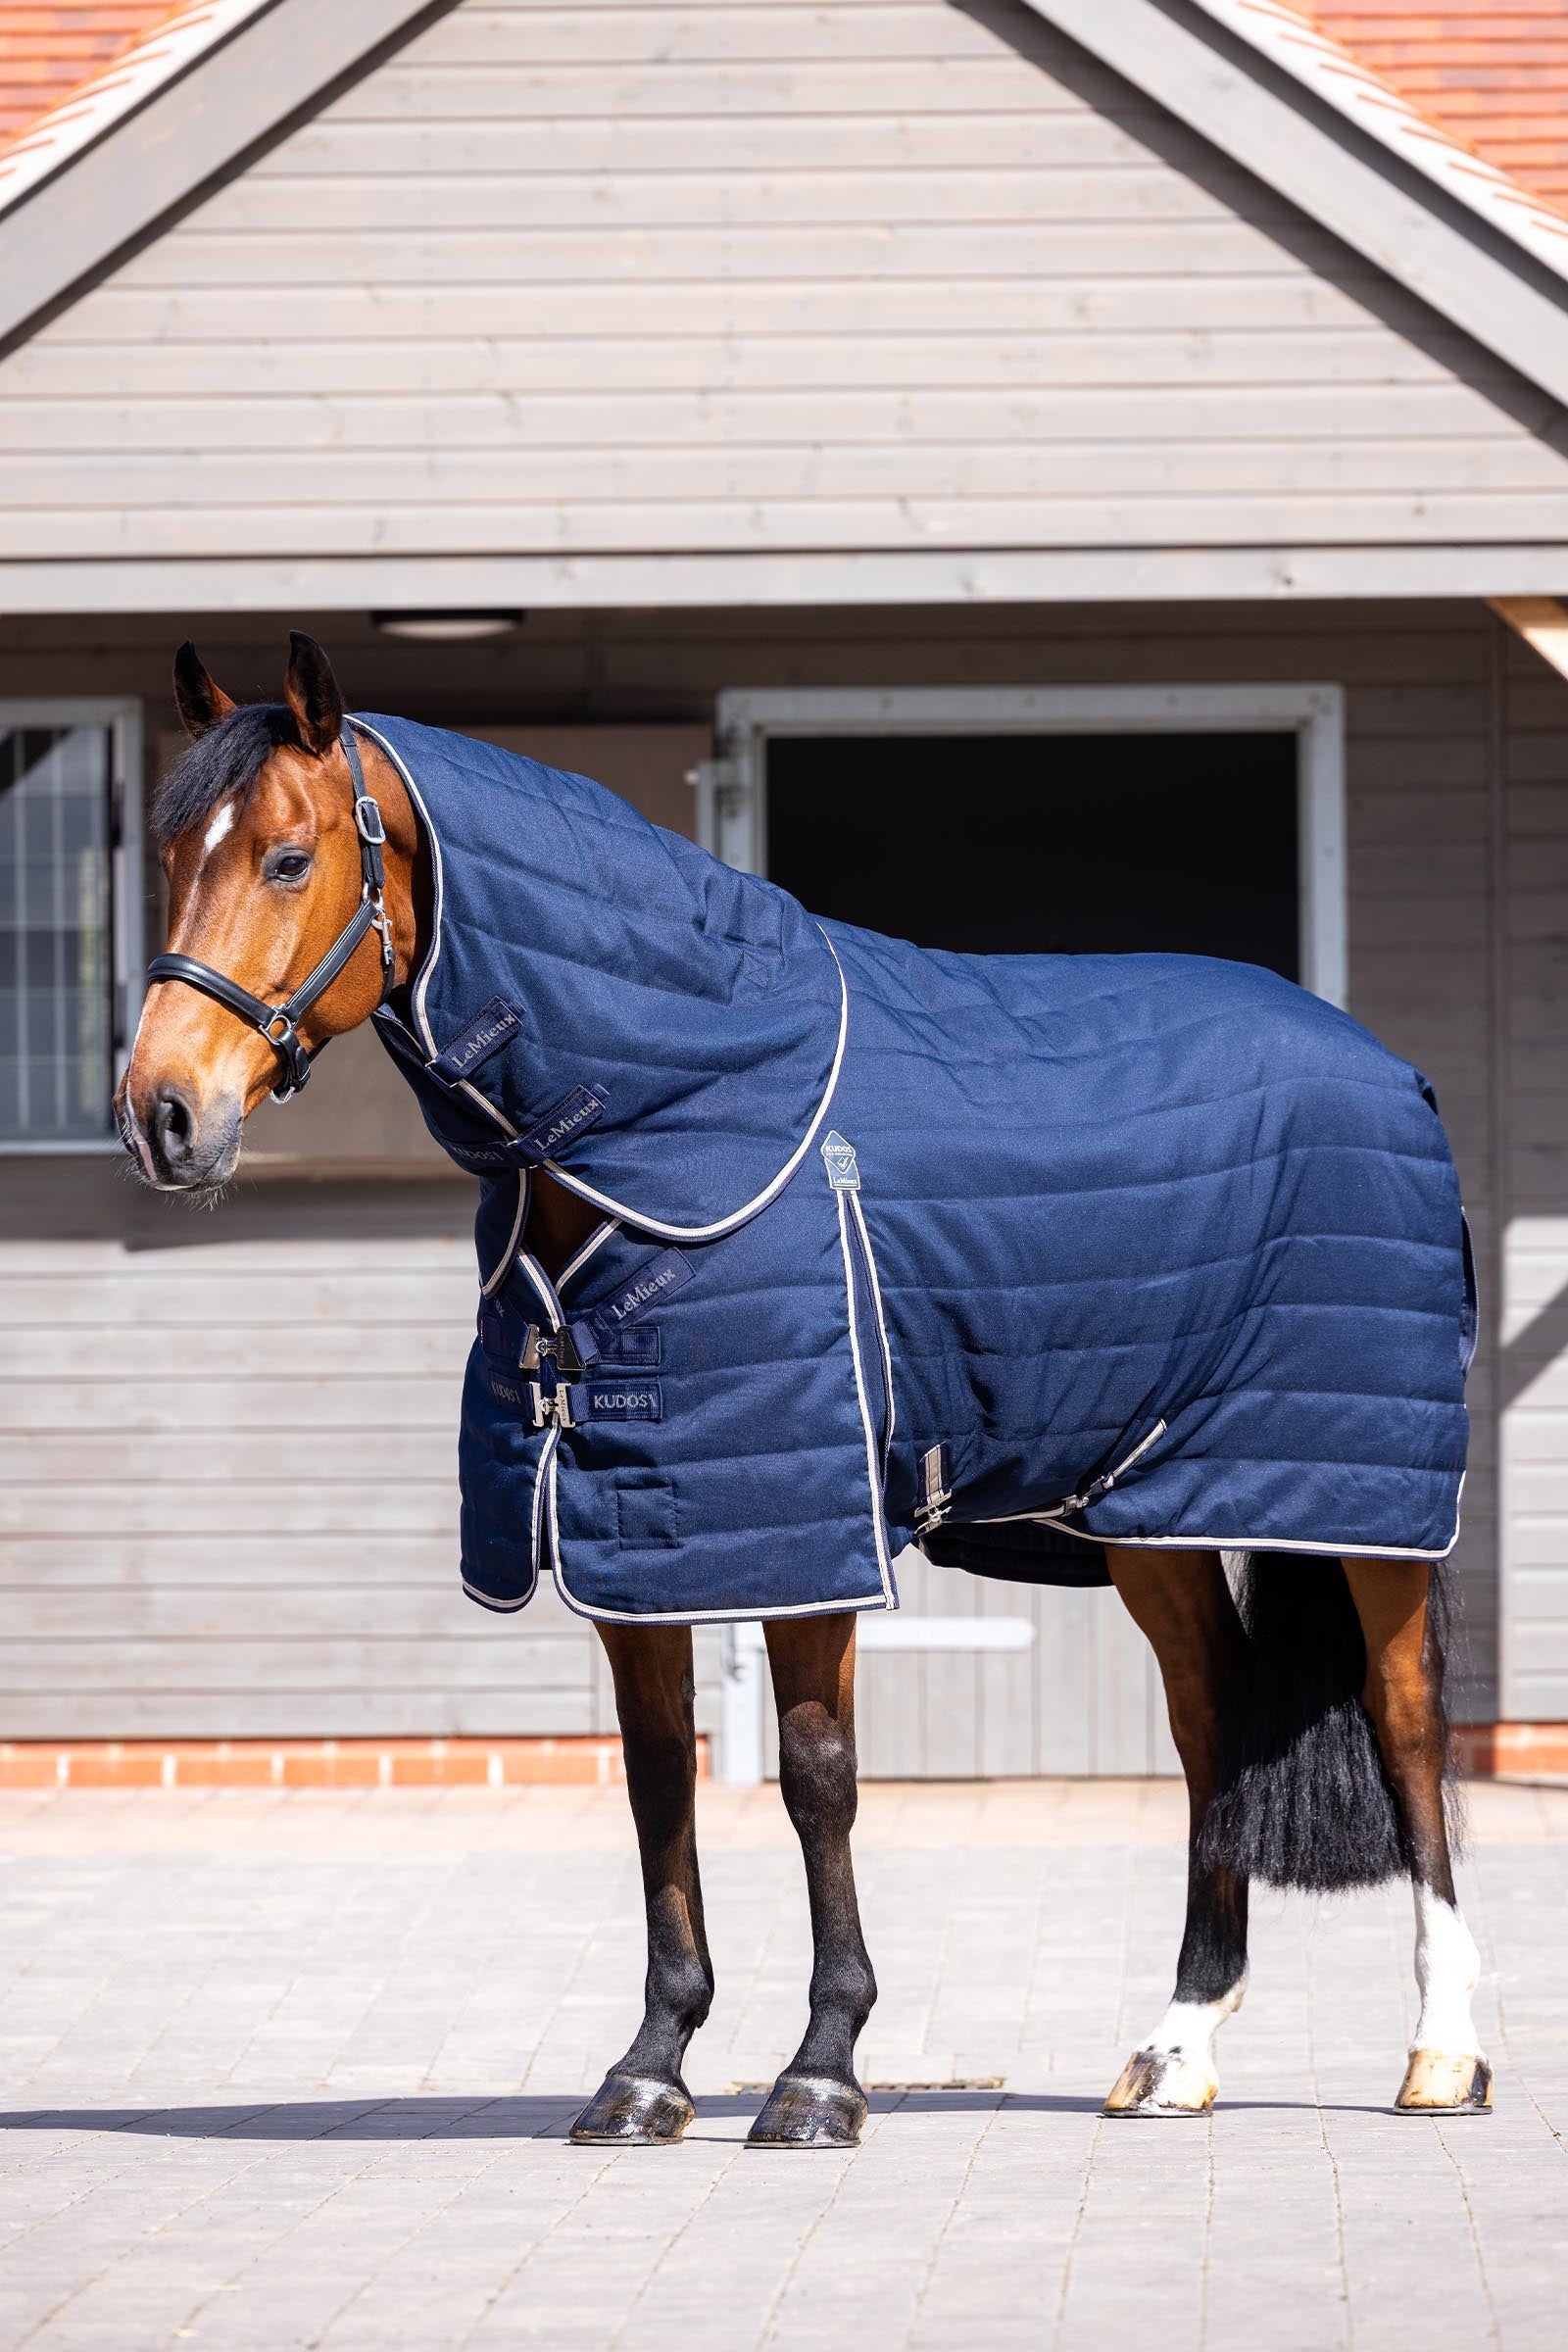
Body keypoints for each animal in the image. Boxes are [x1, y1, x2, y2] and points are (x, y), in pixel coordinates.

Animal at [118, 633, 1490, 2142]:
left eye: (288, 859)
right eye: (170, 851)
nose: (162, 1114)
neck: (678, 1117)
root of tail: (1387, 1069)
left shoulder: (804, 1524)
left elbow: (818, 1778)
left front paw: (823, 2068)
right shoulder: (637, 1531)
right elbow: (659, 1780)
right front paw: (649, 2067)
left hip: (1359, 1508)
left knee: (1407, 1720)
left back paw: (1442, 2052)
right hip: (1151, 1514)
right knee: (1213, 1726)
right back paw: (1177, 2048)